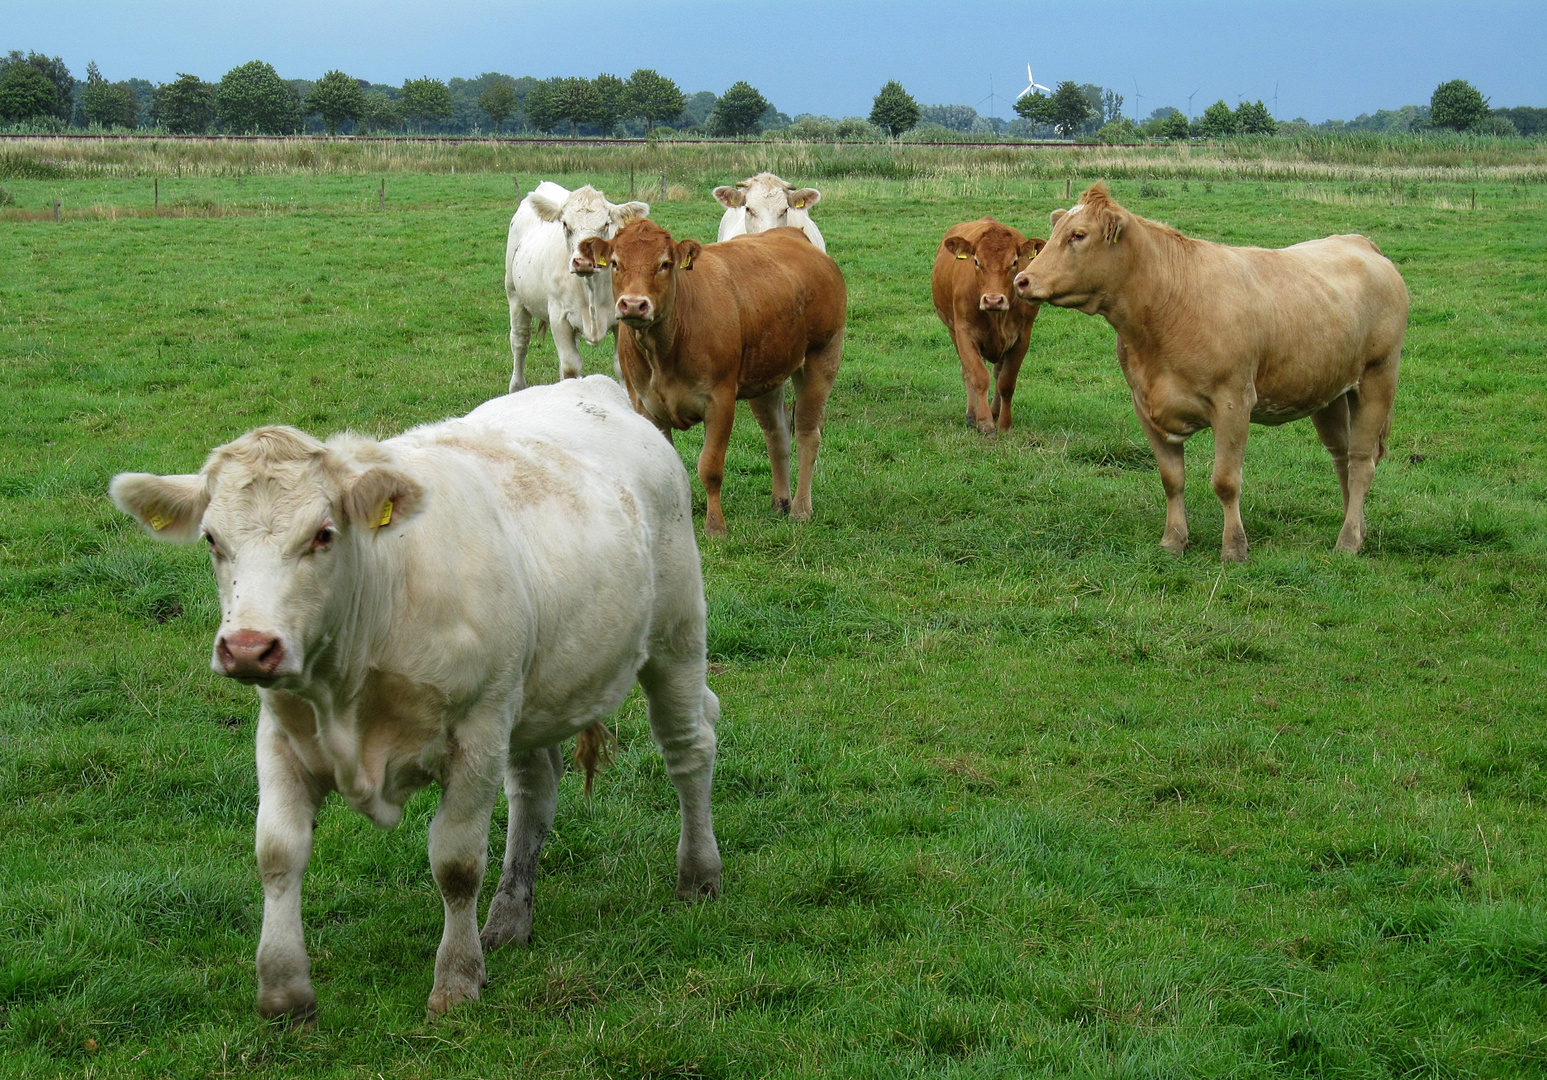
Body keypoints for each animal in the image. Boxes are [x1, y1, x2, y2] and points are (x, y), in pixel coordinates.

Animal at [109, 375, 723, 1015]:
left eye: (323, 535)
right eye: (211, 539)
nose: (250, 647)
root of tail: (591, 384)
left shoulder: (478, 731)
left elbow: (456, 864)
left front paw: (455, 981)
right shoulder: (280, 732)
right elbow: (277, 851)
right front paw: (283, 988)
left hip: (676, 632)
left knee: (689, 745)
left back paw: (699, 874)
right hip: (529, 687)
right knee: (535, 790)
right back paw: (509, 917)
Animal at [504, 181, 649, 391]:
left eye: (606, 224)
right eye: (565, 224)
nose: (583, 262)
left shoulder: (623, 317)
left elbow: (621, 366)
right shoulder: (559, 317)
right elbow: (570, 368)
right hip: (514, 294)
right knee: (520, 340)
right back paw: (517, 386)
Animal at [578, 219, 847, 538]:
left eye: (665, 264)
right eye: (616, 263)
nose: (633, 304)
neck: (664, 349)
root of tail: (793, 234)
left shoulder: (719, 401)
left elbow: (710, 467)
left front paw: (716, 526)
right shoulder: (643, 404)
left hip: (823, 356)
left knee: (807, 432)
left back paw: (800, 509)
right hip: (767, 372)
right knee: (777, 433)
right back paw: (781, 502)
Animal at [928, 216, 1051, 430]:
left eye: (1014, 262)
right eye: (976, 261)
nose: (993, 300)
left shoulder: (1022, 337)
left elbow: (1006, 382)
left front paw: (1004, 423)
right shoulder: (965, 333)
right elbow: (978, 376)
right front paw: (984, 422)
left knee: (997, 373)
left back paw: (995, 410)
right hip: (953, 330)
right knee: (967, 371)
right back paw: (972, 413)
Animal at [1014, 183, 1404, 563]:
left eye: (1078, 235)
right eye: (1055, 232)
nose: (1022, 280)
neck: (1167, 305)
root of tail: (1359, 241)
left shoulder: (1233, 402)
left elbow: (1226, 481)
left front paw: (1234, 548)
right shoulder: (1144, 403)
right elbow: (1171, 479)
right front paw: (1173, 541)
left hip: (1378, 378)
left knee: (1361, 462)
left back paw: (1348, 541)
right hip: (1329, 392)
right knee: (1342, 458)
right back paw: (1356, 529)